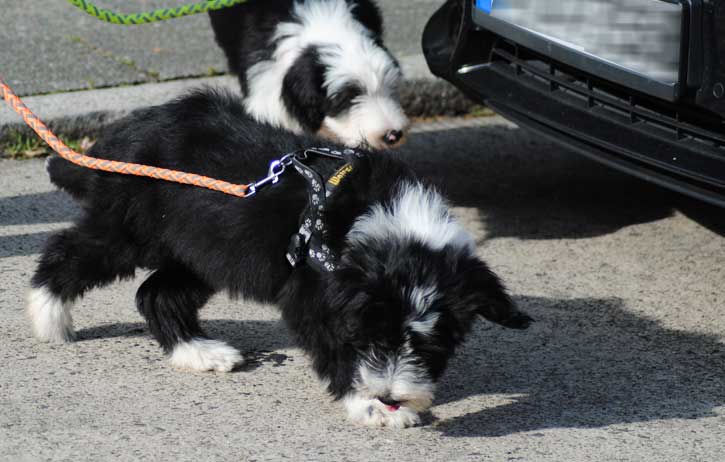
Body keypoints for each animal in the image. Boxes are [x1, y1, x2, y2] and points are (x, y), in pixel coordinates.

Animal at [31, 88, 528, 428]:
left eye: (426, 344)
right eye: (374, 339)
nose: (390, 394)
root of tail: (115, 140)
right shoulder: (316, 296)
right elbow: (334, 347)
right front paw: (371, 407)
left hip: (204, 250)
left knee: (155, 293)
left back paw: (199, 352)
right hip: (131, 231)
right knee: (70, 251)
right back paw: (47, 317)